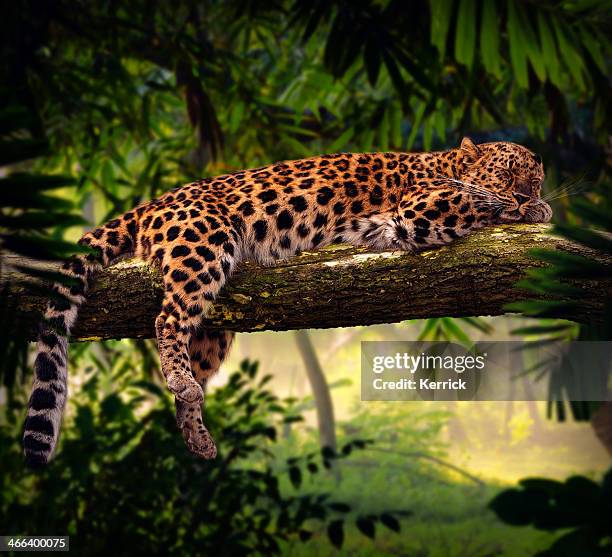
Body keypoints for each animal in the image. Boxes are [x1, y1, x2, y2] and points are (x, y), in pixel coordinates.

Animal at [22, 138, 548, 464]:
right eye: (506, 176)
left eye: (535, 178)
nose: (529, 195)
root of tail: (154, 202)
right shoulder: (421, 208)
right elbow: (477, 200)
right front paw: (531, 209)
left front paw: (538, 207)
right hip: (203, 244)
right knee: (167, 319)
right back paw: (180, 380)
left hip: (216, 323)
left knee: (193, 347)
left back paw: (196, 430)